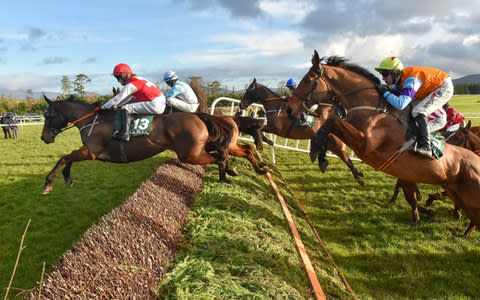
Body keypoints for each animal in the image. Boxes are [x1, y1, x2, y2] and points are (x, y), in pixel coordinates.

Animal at [40, 96, 266, 195]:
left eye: (48, 115)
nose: (44, 137)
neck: (92, 120)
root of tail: (198, 116)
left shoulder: (91, 152)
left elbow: (64, 157)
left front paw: (49, 183)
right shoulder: (88, 152)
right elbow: (67, 158)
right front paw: (67, 179)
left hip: (189, 154)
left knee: (221, 157)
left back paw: (227, 174)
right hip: (200, 149)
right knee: (239, 151)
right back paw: (244, 170)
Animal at [238, 78, 366, 185]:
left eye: (248, 91)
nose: (241, 105)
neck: (276, 107)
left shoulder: (276, 128)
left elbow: (259, 129)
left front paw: (260, 143)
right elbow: (260, 130)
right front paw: (265, 141)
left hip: (336, 146)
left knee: (347, 159)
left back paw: (359, 179)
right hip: (332, 146)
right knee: (347, 159)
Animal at [286, 51, 480, 232]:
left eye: (307, 80)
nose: (289, 109)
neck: (373, 109)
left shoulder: (365, 144)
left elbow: (331, 122)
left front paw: (318, 152)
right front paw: (321, 155)